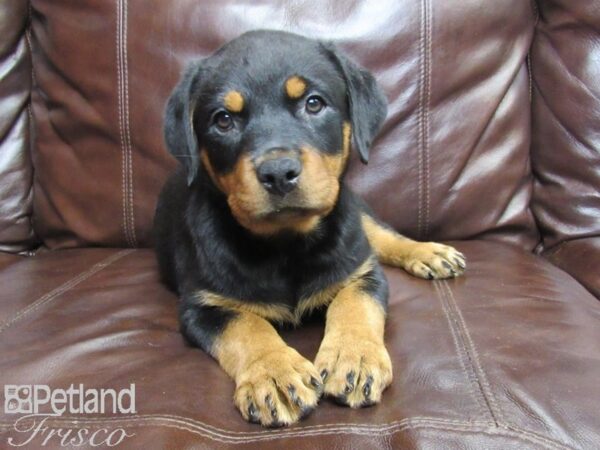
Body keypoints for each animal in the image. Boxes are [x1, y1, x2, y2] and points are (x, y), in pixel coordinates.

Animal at [154, 29, 464, 428]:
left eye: (313, 104)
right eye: (223, 120)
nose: (278, 172)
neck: (287, 244)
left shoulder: (363, 272)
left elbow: (354, 304)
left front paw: (354, 359)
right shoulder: (203, 305)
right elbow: (247, 326)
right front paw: (273, 374)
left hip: (356, 216)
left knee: (382, 234)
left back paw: (430, 253)